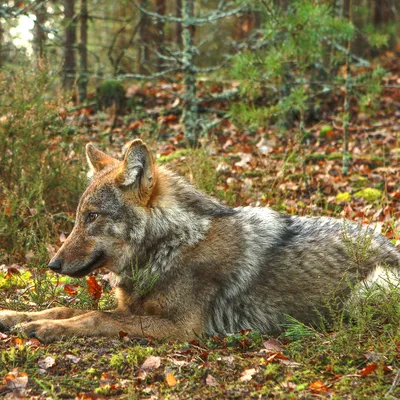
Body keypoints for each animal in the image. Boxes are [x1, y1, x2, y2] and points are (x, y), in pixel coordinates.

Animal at [0, 139, 400, 342]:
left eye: (92, 217)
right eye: (79, 217)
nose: (52, 264)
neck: (173, 245)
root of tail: (389, 244)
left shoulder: (183, 328)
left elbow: (94, 317)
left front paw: (46, 329)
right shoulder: (134, 309)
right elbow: (66, 308)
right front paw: (18, 316)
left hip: (371, 288)